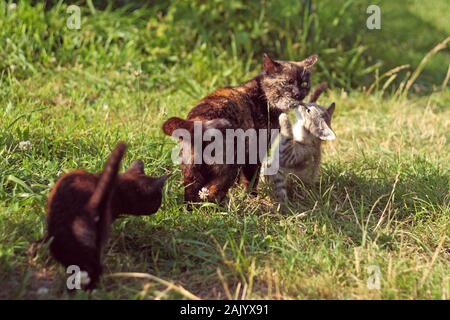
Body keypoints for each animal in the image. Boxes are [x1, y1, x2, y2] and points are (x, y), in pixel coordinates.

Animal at [163, 52, 318, 202]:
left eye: (304, 83)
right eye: (287, 82)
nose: (298, 94)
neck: (263, 96)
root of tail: (199, 121)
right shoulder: (255, 153)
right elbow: (250, 180)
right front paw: (252, 198)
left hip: (192, 174)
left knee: (191, 197)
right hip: (227, 168)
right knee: (213, 193)